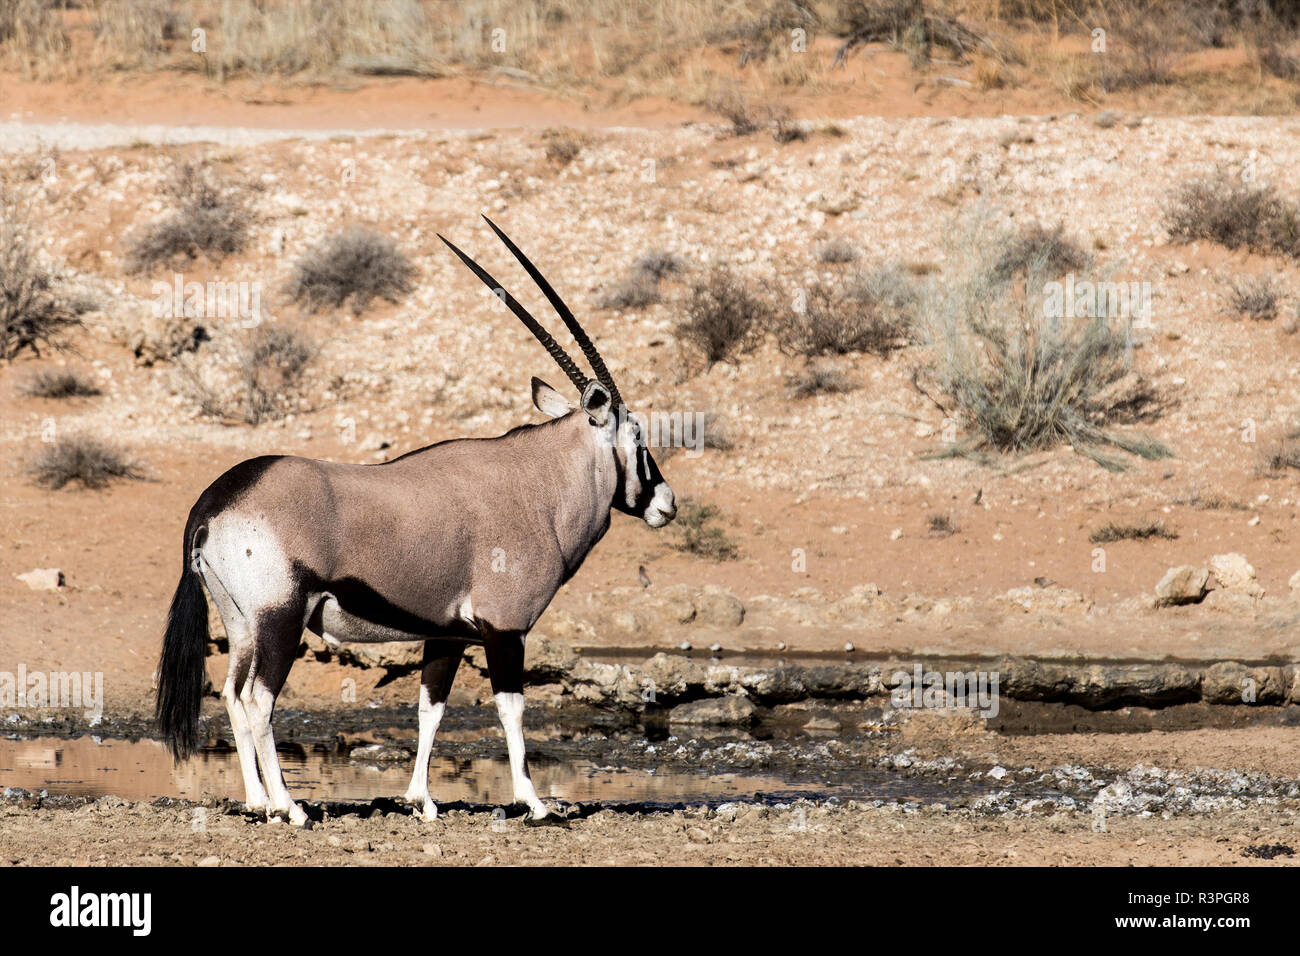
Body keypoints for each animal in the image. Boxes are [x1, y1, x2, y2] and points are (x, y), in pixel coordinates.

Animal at [156, 217, 677, 826]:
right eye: (638, 436)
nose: (666, 504)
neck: (539, 483)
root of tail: (215, 502)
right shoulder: (505, 630)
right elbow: (512, 709)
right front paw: (534, 802)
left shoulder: (446, 634)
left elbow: (432, 709)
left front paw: (422, 800)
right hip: (281, 619)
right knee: (259, 699)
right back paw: (292, 807)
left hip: (242, 625)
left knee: (234, 697)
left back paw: (259, 801)